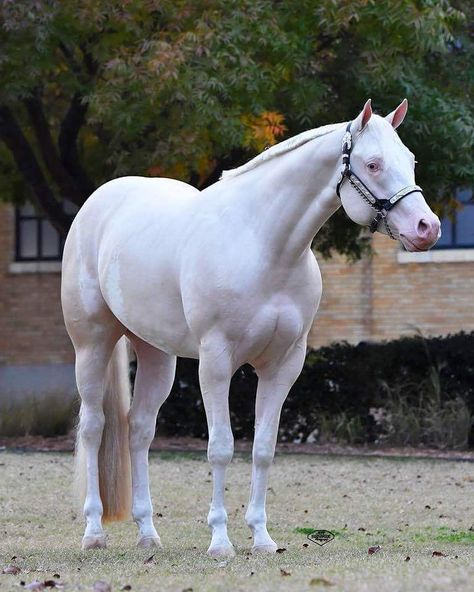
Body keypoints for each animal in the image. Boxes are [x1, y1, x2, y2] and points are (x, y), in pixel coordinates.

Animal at [60, 99, 440, 556]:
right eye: (373, 164)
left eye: (411, 160)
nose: (427, 228)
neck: (263, 245)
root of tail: (98, 202)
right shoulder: (216, 362)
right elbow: (221, 448)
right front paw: (220, 540)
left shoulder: (283, 365)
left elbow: (263, 449)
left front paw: (261, 538)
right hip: (92, 345)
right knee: (94, 428)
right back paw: (93, 531)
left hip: (156, 355)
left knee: (139, 430)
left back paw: (148, 532)